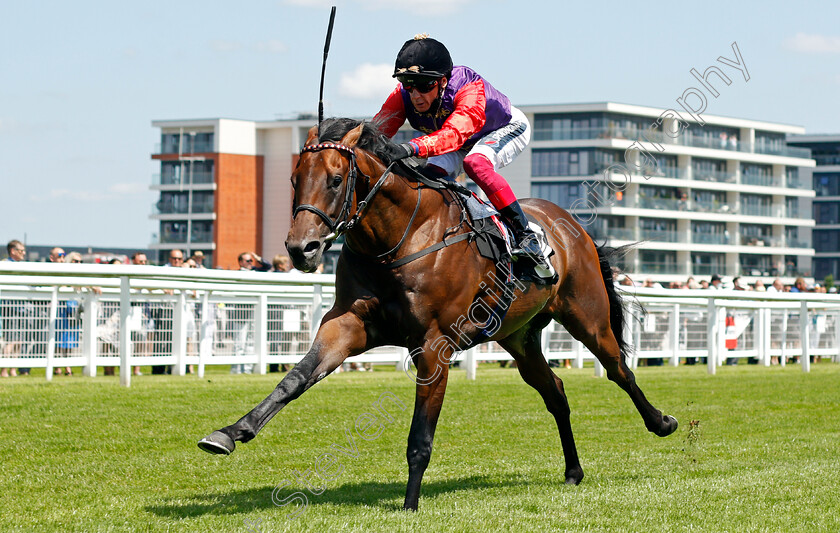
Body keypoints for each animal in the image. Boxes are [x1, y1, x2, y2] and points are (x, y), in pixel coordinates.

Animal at [200, 117, 680, 512]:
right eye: (294, 179)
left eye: (336, 180)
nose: (302, 249)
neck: (400, 238)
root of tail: (573, 226)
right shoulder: (347, 325)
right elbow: (295, 379)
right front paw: (230, 432)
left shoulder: (433, 346)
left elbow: (420, 435)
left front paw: (410, 505)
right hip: (519, 337)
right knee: (556, 392)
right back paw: (573, 471)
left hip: (587, 318)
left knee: (620, 369)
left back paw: (661, 422)